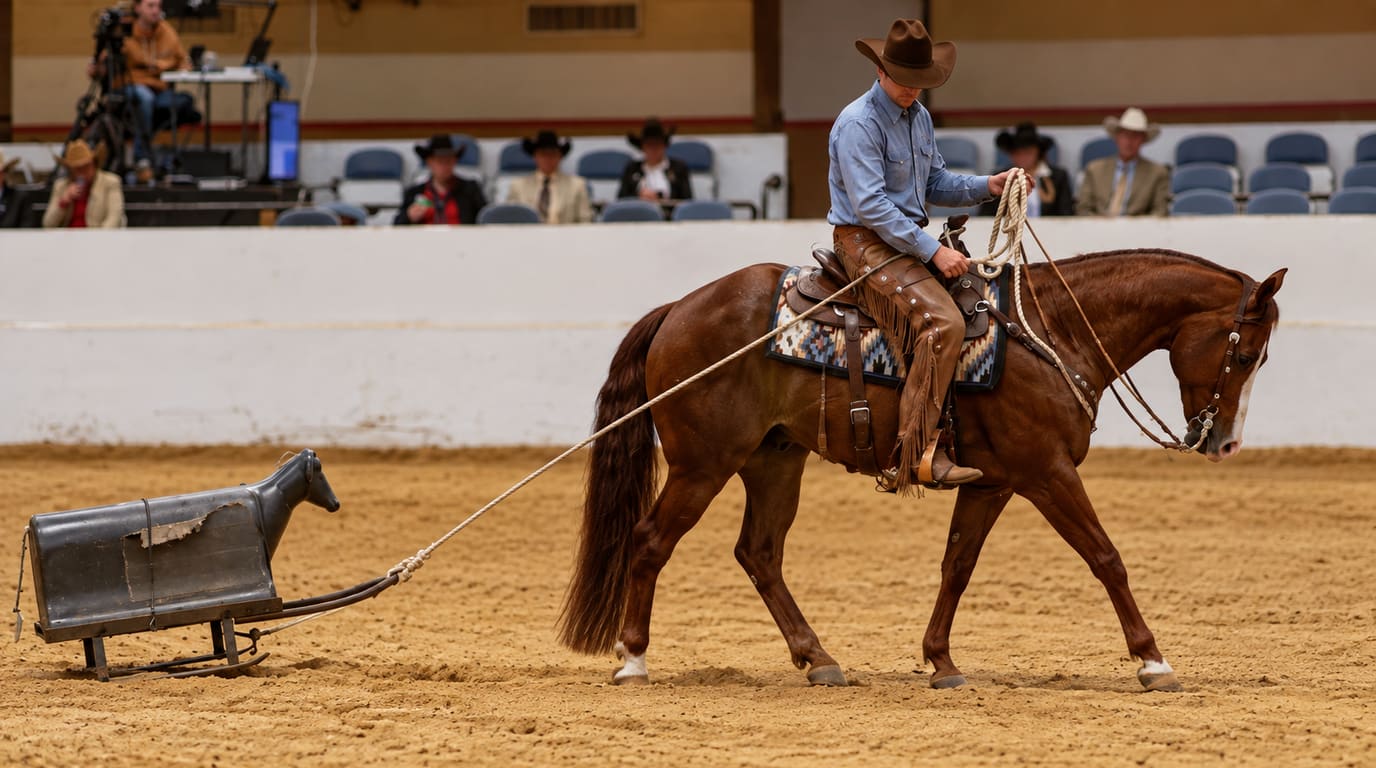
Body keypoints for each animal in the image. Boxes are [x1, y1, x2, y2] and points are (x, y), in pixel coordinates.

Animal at [558, 248, 1285, 692]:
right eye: (1248, 353)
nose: (1224, 444)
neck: (1052, 332)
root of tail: (677, 310)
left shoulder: (995, 482)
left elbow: (956, 566)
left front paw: (940, 662)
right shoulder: (1048, 473)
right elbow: (1107, 558)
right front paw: (1153, 660)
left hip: (774, 460)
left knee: (759, 553)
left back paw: (819, 659)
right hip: (702, 464)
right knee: (651, 541)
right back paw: (633, 658)